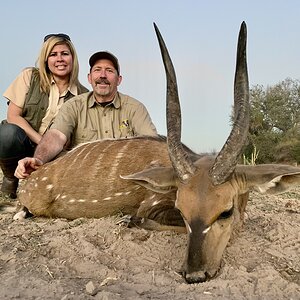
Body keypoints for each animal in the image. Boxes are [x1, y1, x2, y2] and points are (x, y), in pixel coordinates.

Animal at [10, 22, 300, 282]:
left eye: (225, 212)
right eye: (182, 210)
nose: (195, 274)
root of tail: (33, 176)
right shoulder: (151, 206)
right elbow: (147, 219)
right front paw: (131, 221)